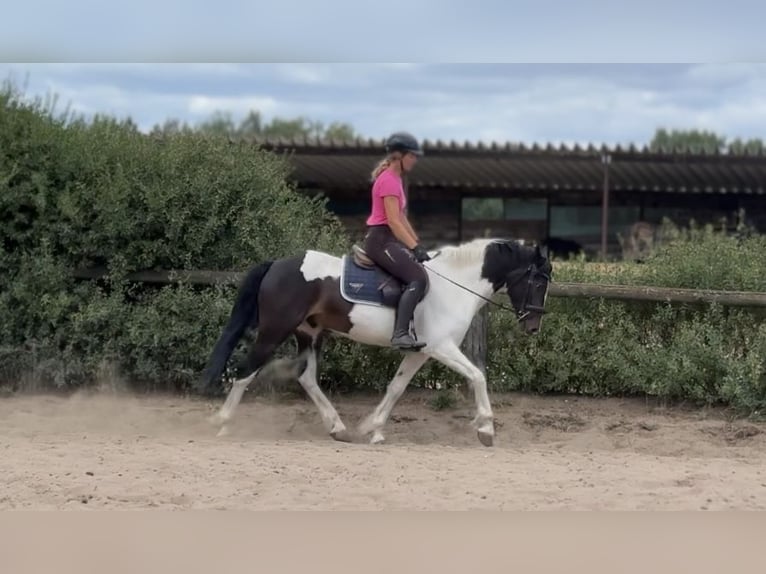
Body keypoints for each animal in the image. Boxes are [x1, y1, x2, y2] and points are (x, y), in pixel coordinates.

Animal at [198, 237, 553, 447]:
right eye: (537, 280)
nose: (533, 326)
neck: (454, 284)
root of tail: (278, 264)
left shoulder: (421, 351)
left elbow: (396, 387)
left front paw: (373, 427)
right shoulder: (442, 347)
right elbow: (478, 376)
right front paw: (486, 429)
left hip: (308, 334)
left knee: (307, 377)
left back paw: (338, 427)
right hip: (274, 330)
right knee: (246, 370)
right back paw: (223, 422)